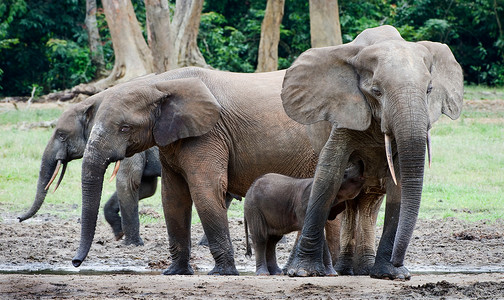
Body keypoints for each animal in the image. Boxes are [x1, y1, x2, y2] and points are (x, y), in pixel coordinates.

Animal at [282, 24, 462, 280]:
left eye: (429, 90)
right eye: (376, 91)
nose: (399, 261)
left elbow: (399, 185)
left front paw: (392, 274)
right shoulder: (345, 110)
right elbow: (330, 173)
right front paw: (304, 272)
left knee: (369, 202)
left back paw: (363, 270)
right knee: (349, 203)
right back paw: (344, 271)